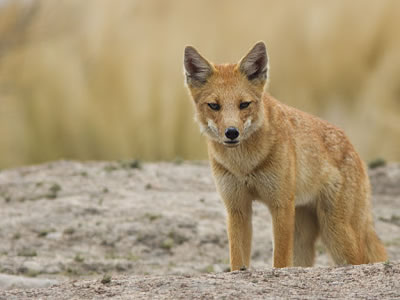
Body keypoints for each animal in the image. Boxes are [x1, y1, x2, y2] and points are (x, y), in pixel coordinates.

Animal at [184, 41, 388, 270]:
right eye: (214, 106)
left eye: (244, 104)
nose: (232, 132)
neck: (244, 165)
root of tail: (353, 148)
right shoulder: (237, 208)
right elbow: (237, 261)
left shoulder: (280, 205)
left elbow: (280, 261)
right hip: (305, 238)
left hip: (337, 235)